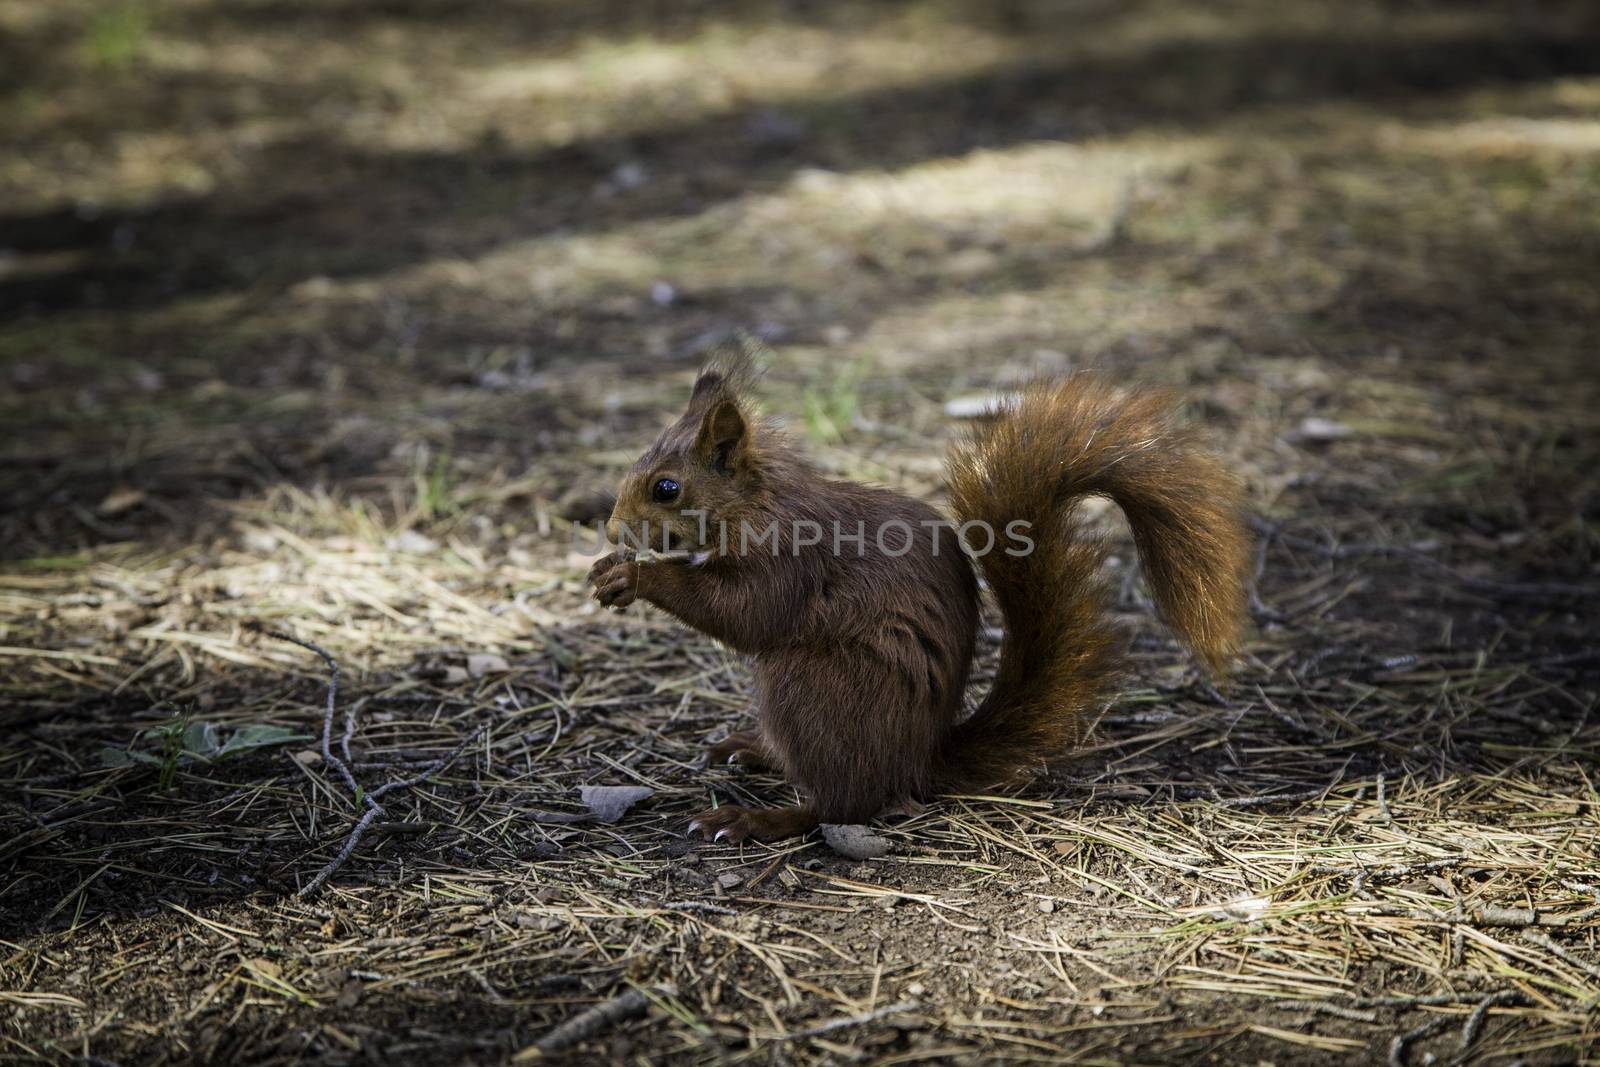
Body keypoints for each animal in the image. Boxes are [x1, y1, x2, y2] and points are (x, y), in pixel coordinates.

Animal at [588, 342, 1248, 844]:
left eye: (667, 488)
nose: (615, 530)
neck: (758, 503)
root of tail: (919, 757)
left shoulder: (790, 561)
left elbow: (745, 614)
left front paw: (636, 576)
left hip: (815, 686)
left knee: (843, 802)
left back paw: (758, 818)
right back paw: (754, 750)